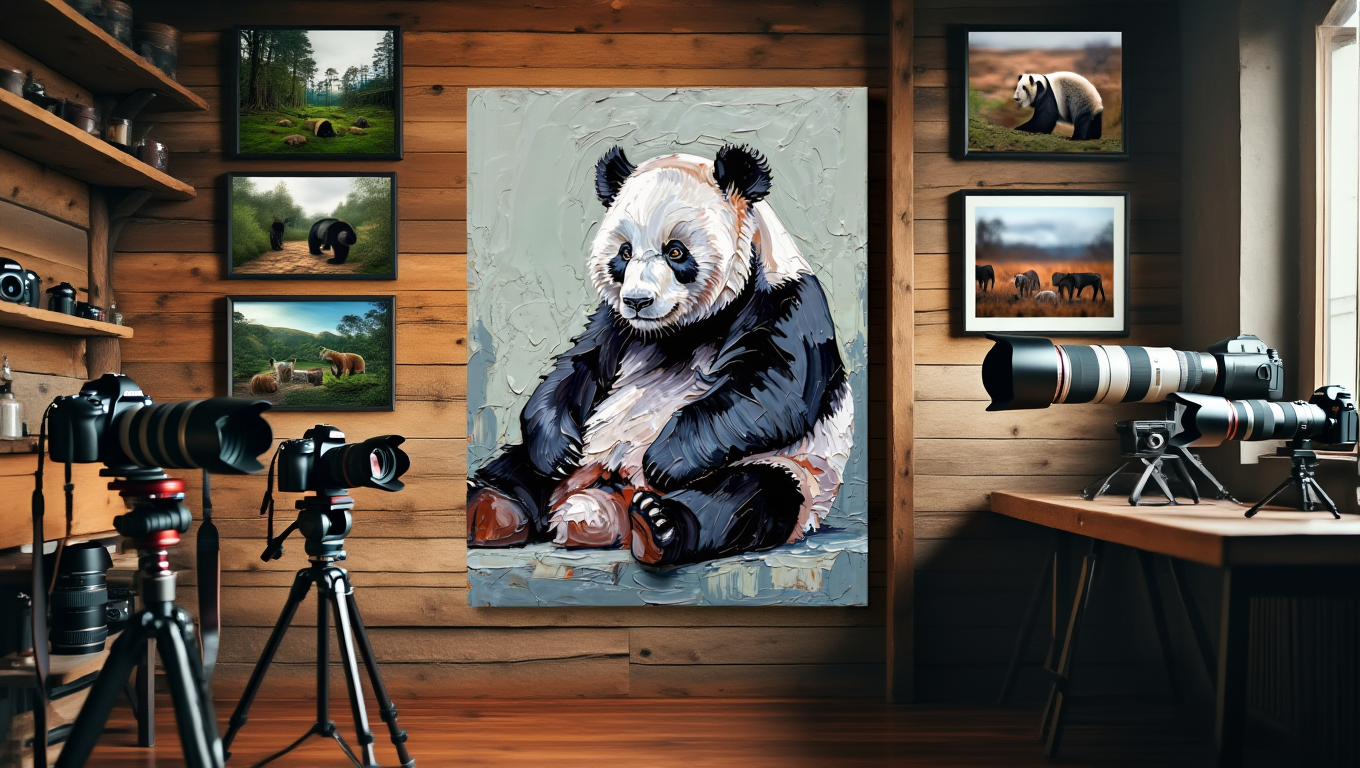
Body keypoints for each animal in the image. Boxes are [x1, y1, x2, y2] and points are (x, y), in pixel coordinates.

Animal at [467, 144, 854, 567]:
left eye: (676, 251)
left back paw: (658, 525)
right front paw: (556, 448)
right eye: (624, 252)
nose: (638, 301)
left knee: (748, 497)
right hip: (587, 453)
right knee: (520, 467)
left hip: (798, 471)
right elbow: (577, 367)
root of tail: (609, 498)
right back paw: (489, 505)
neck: (680, 330)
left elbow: (771, 389)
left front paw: (664, 458)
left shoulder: (787, 304)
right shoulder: (615, 323)